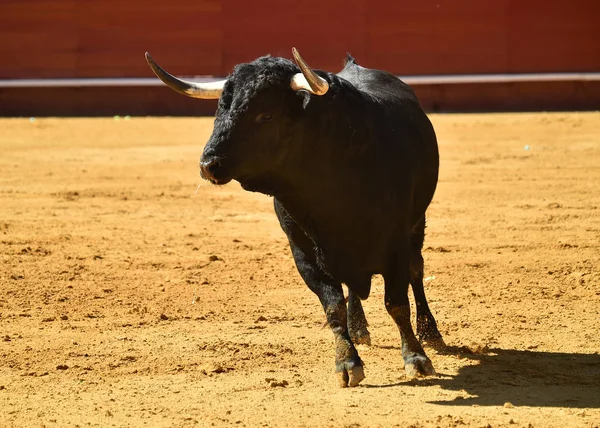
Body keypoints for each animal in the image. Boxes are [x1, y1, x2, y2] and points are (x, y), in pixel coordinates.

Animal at [145, 48, 446, 386]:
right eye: (222, 108)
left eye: (266, 115)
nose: (209, 164)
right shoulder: (304, 253)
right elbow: (332, 306)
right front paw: (347, 362)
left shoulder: (396, 243)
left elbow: (397, 302)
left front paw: (417, 358)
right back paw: (358, 328)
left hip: (417, 226)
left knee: (416, 271)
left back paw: (431, 333)